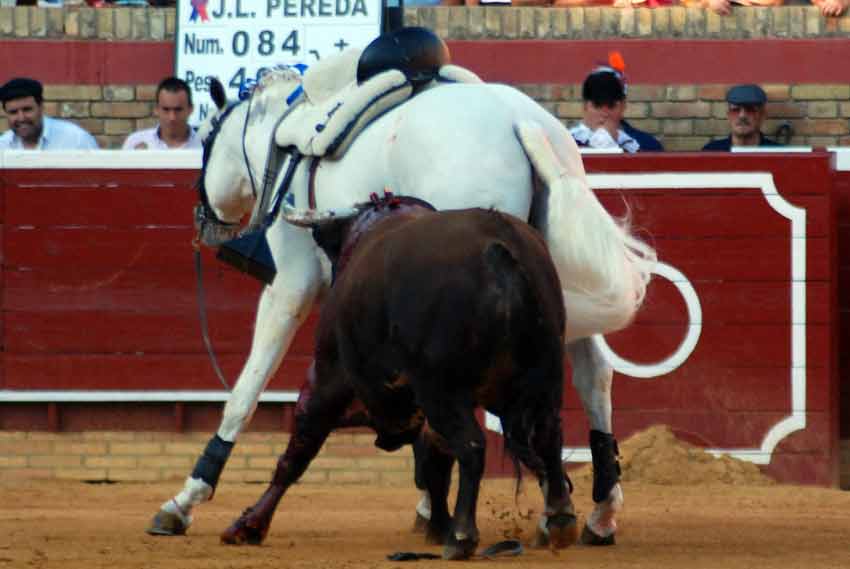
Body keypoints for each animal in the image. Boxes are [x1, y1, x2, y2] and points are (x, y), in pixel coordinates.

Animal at [220, 205, 576, 560]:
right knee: (548, 436)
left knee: (473, 446)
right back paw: (559, 519)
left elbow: (298, 450)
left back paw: (462, 536)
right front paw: (436, 526)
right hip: (545, 379)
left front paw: (249, 525)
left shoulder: (327, 379)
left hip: (442, 391)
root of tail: (498, 246)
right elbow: (434, 461)